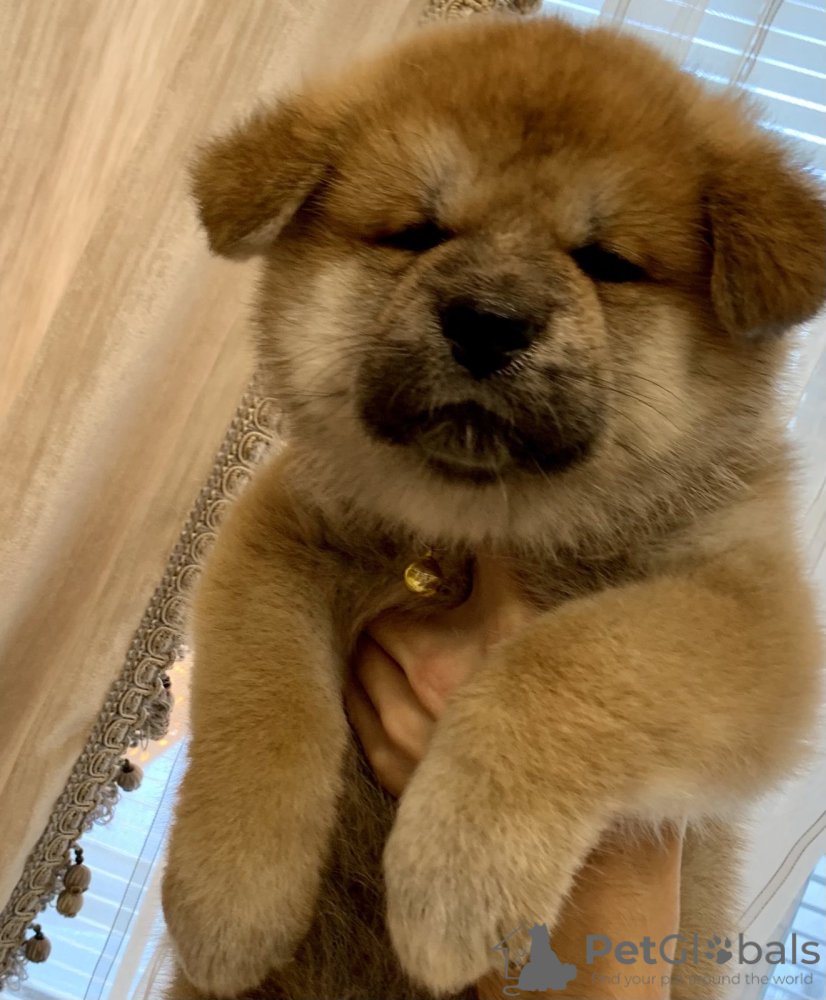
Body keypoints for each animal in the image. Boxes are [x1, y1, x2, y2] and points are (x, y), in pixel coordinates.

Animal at [161, 15, 826, 1000]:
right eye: (417, 233)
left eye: (606, 264)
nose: (487, 321)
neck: (491, 523)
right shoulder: (282, 524)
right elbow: (261, 697)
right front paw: (228, 900)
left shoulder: (749, 616)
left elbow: (566, 664)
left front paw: (456, 877)